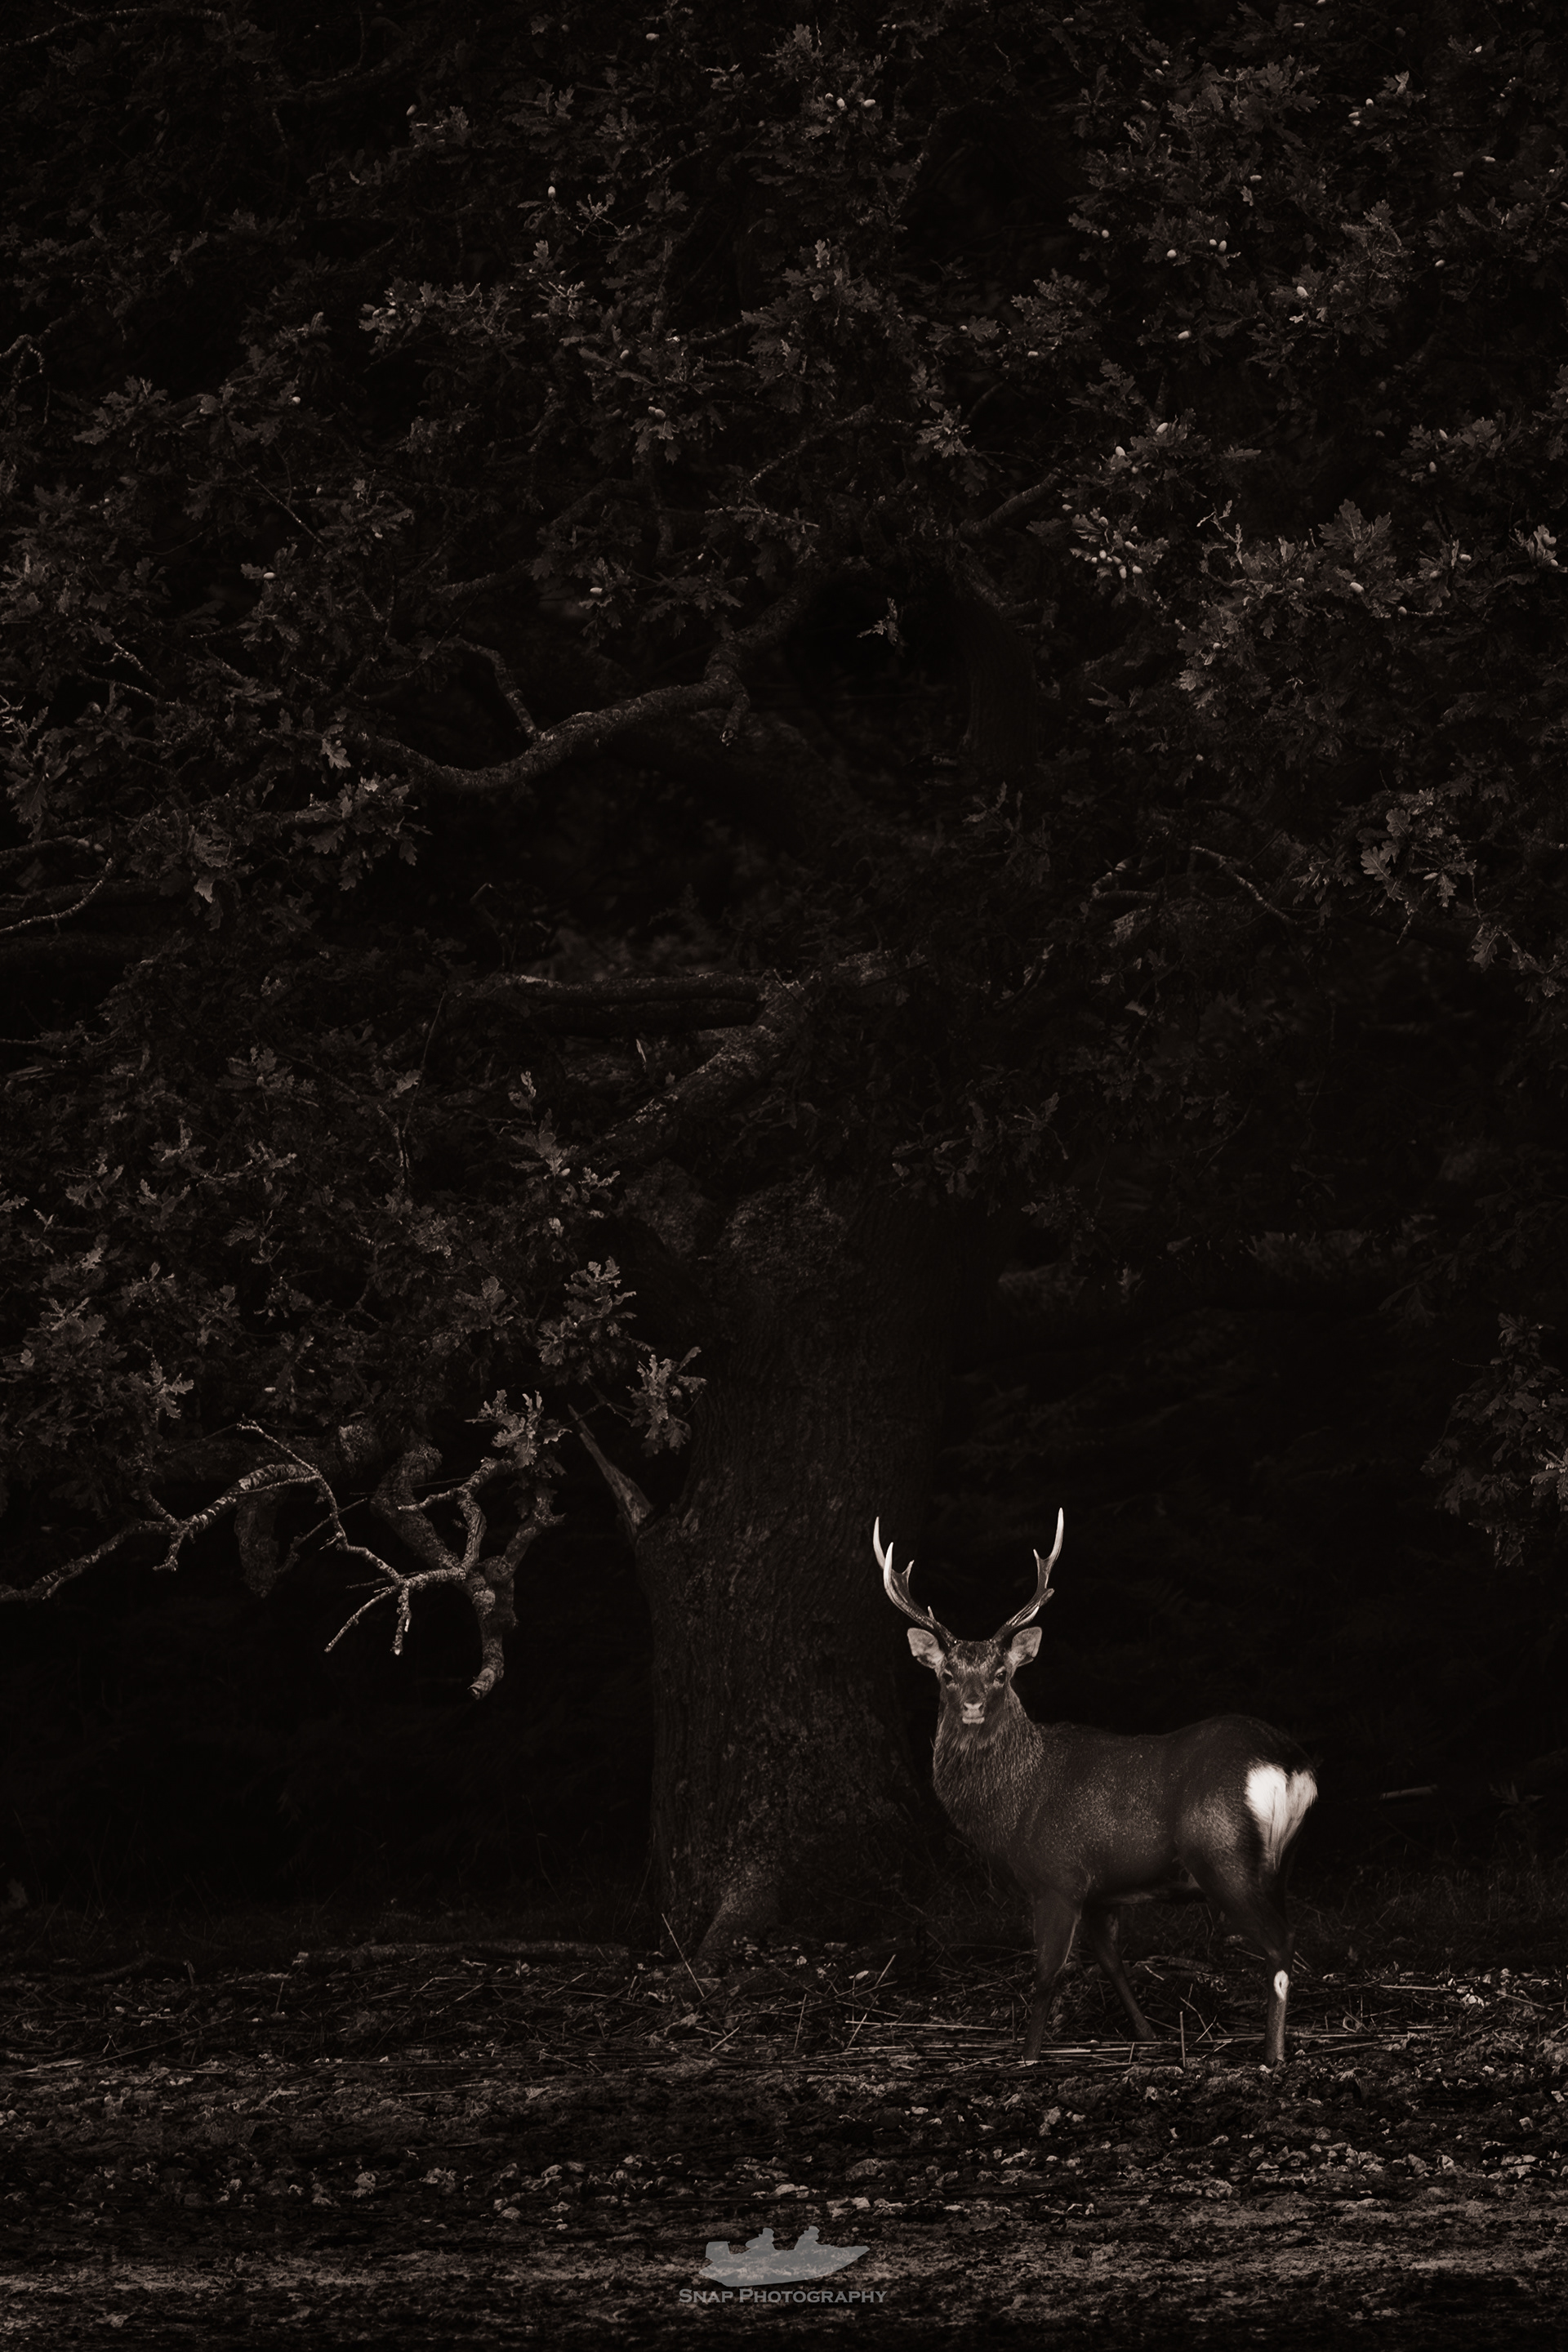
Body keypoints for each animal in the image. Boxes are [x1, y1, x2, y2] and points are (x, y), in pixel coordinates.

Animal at [876, 1513, 1316, 2067]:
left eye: (1001, 1673)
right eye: (947, 1673)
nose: (973, 1705)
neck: (1013, 1807)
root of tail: (1288, 1762)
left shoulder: (1057, 1876)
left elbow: (1046, 1976)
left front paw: (1029, 2057)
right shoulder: (1102, 1891)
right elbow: (1112, 1963)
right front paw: (1147, 2036)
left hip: (1222, 1852)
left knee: (1280, 1943)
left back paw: (1271, 2055)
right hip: (1283, 1860)